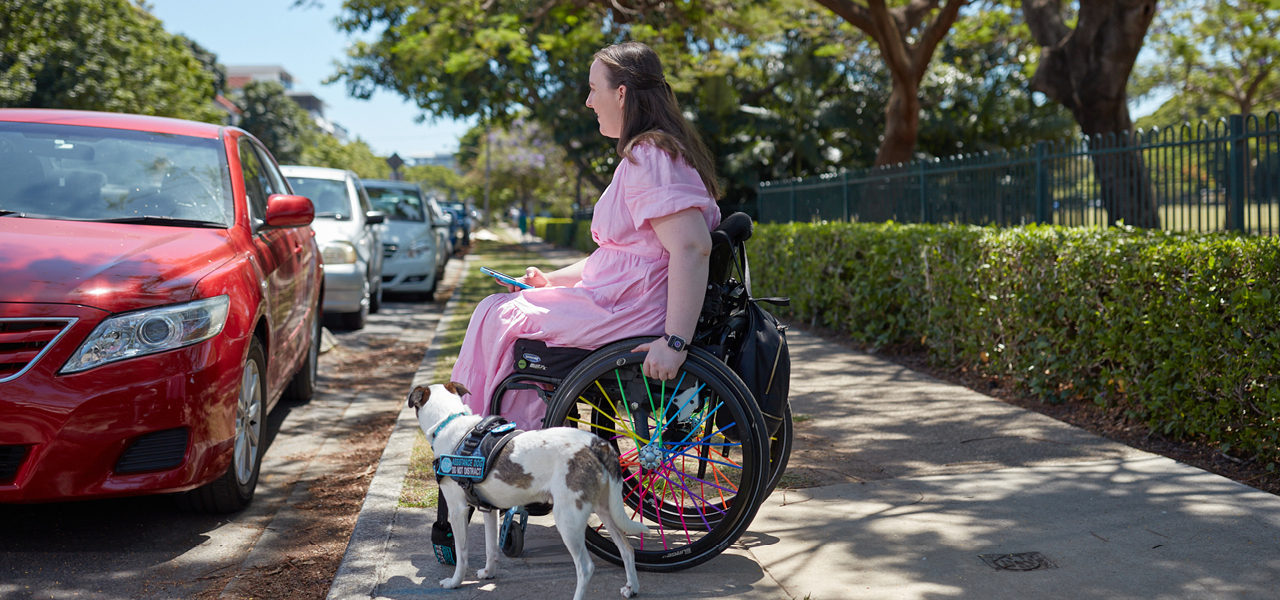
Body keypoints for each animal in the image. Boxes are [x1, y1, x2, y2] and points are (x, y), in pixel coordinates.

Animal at [409, 383, 650, 598]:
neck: (449, 422)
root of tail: (597, 444)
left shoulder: (457, 508)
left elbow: (462, 552)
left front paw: (455, 582)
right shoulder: (489, 509)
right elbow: (491, 547)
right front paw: (488, 573)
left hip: (568, 518)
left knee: (586, 567)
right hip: (606, 510)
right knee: (626, 549)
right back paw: (632, 588)